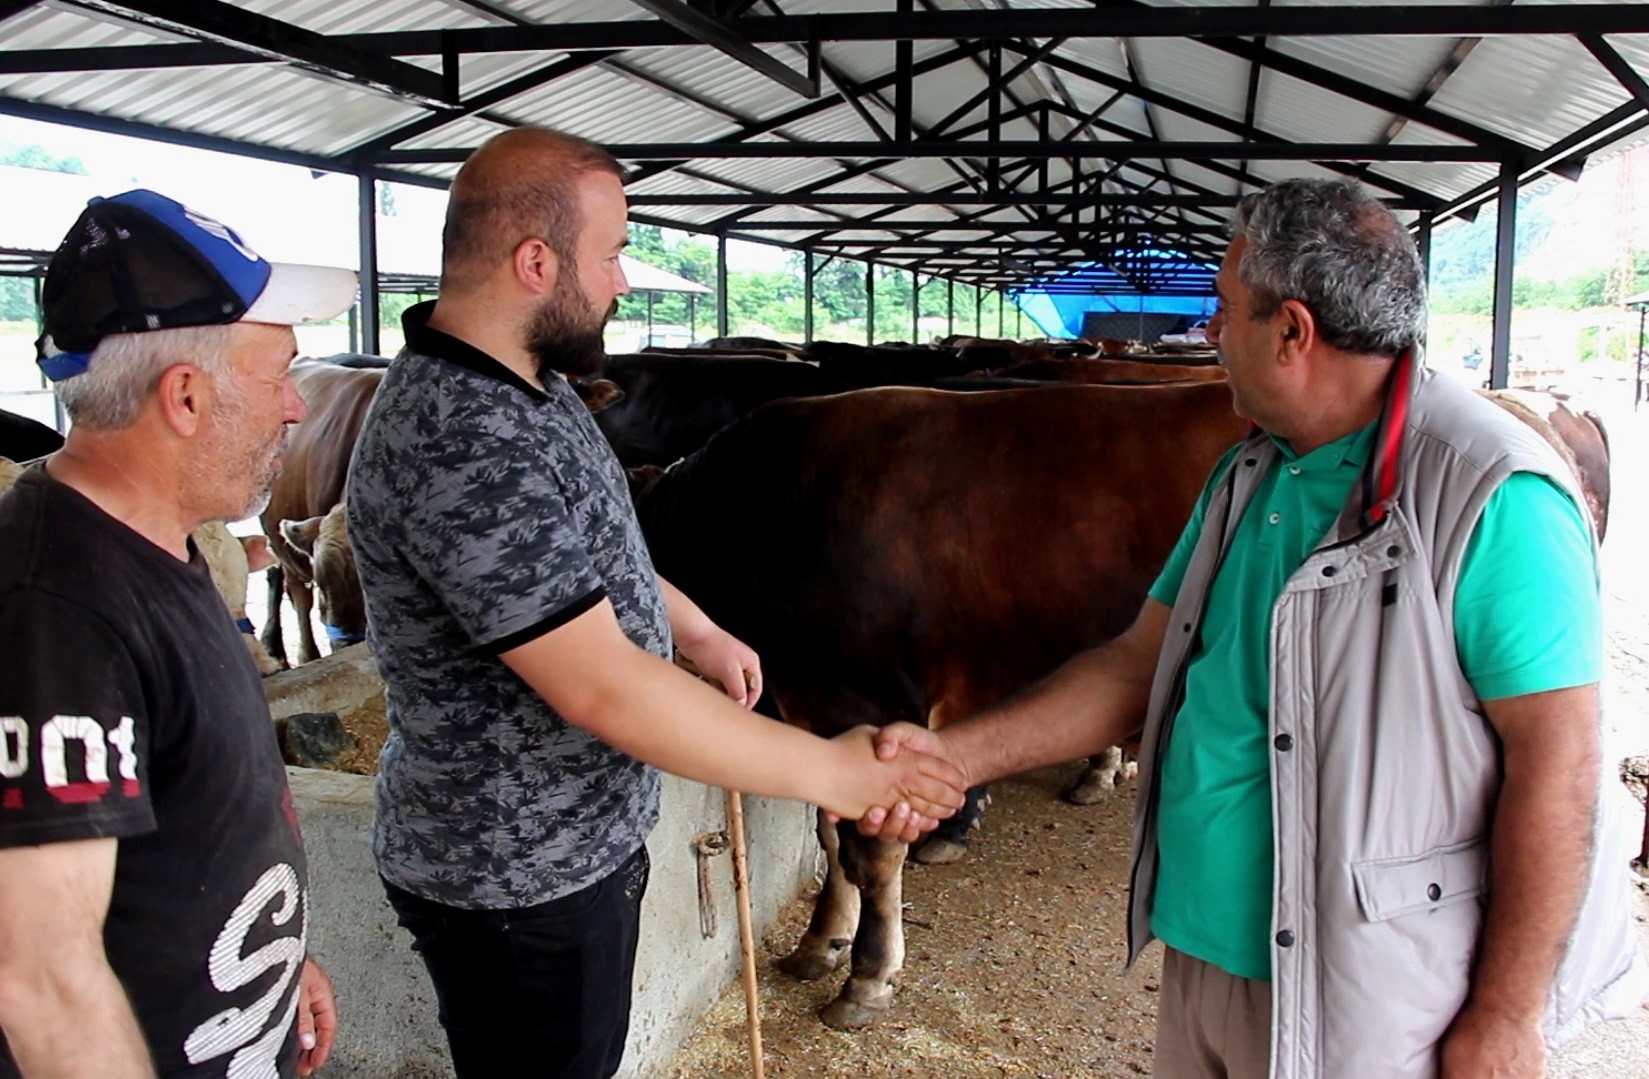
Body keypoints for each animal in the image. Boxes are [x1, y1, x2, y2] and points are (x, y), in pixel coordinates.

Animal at [633, 382, 1246, 1029]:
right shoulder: (826, 717)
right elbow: (832, 837)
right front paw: (820, 943)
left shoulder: (865, 701)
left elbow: (869, 853)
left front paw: (868, 976)